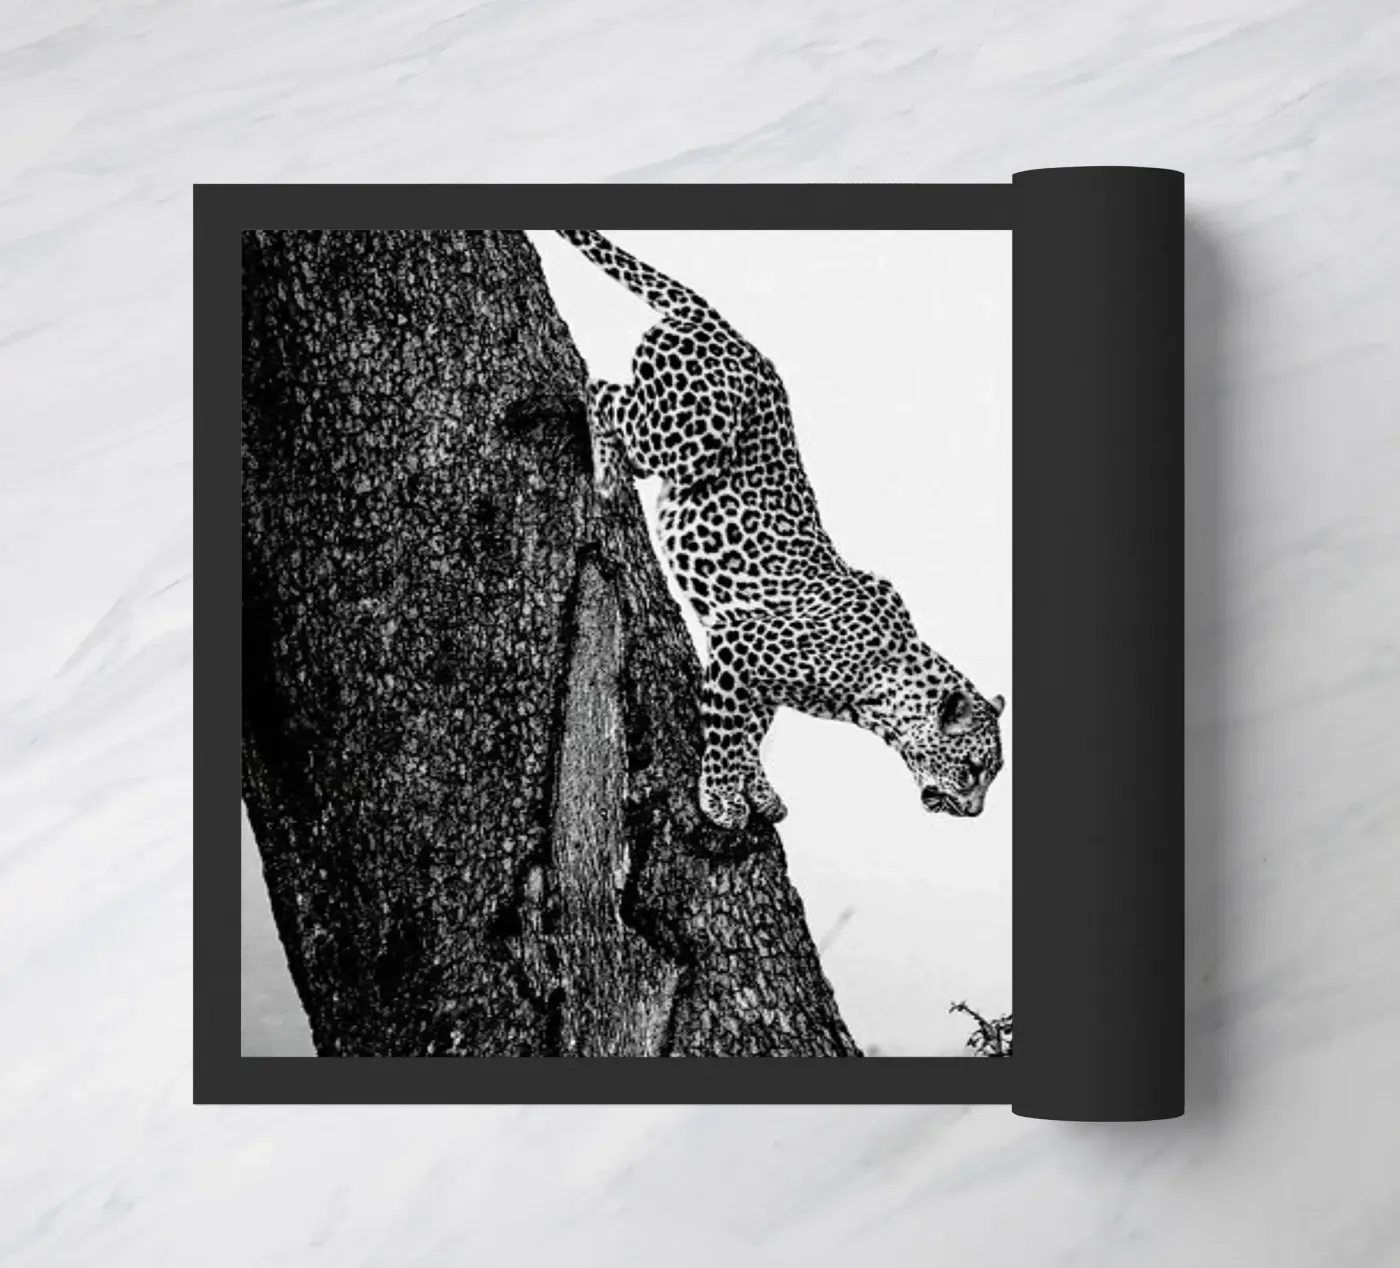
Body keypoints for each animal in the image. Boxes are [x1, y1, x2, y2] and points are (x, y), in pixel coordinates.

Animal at [554, 229, 1005, 831]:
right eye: (975, 769)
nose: (975, 814)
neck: (883, 686)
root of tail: (722, 325)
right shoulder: (740, 645)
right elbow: (725, 734)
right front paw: (721, 799)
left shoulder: (747, 665)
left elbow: (748, 731)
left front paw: (757, 789)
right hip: (689, 436)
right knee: (601, 389)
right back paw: (606, 475)